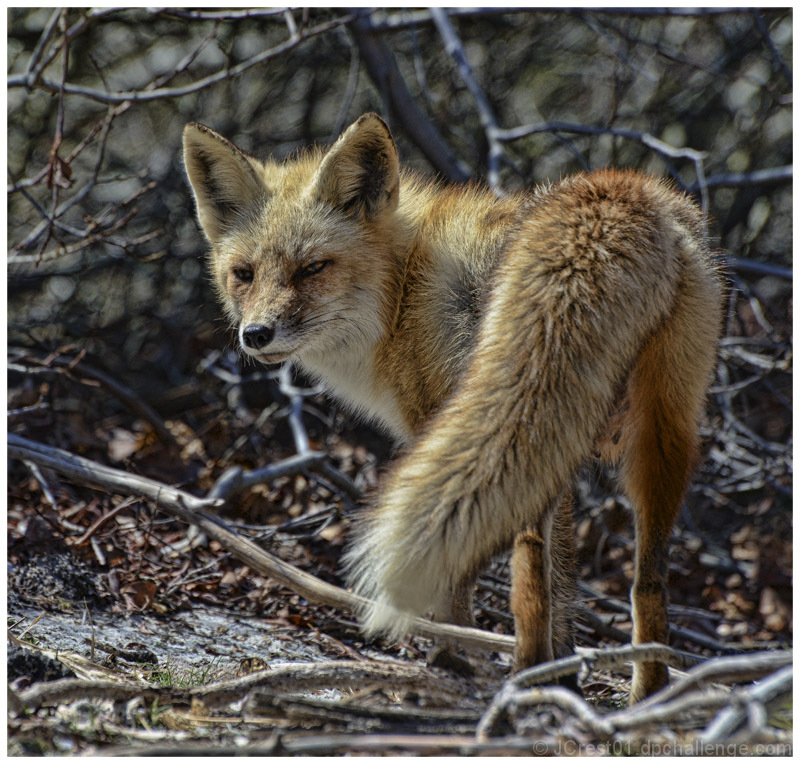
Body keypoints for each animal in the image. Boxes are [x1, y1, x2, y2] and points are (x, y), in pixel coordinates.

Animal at [183, 112, 723, 702]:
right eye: (244, 274)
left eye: (312, 268)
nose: (256, 335)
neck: (401, 291)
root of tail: (617, 191)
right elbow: (565, 579)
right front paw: (565, 674)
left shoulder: (435, 421)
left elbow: (466, 579)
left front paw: (454, 657)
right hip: (657, 428)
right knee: (647, 582)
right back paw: (642, 692)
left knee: (528, 577)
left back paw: (516, 680)